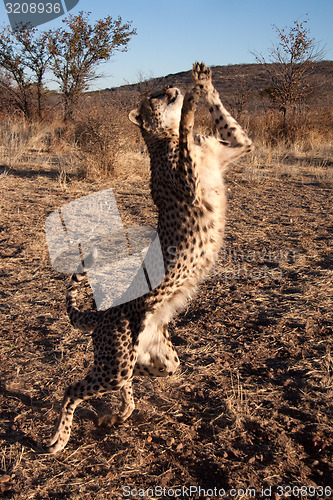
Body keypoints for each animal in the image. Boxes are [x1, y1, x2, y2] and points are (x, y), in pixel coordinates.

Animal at [45, 61, 253, 454]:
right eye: (154, 95)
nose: (171, 87)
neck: (163, 138)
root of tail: (101, 314)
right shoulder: (189, 183)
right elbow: (186, 130)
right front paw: (192, 100)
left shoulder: (237, 146)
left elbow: (229, 126)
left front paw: (205, 84)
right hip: (115, 363)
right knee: (72, 389)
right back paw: (59, 438)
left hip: (157, 361)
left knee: (132, 380)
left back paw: (120, 413)